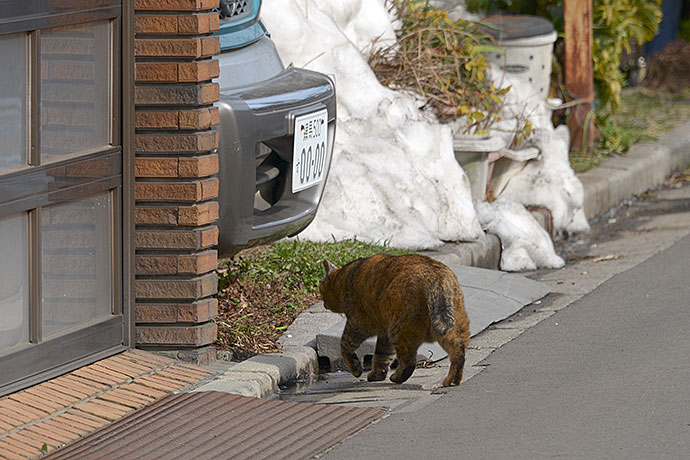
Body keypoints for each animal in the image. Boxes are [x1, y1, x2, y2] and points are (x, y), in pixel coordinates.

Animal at [318, 253, 468, 386]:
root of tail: (435, 277)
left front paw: (356, 370)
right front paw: (377, 375)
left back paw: (397, 377)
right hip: (449, 328)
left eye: (321, 287)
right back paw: (452, 380)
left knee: (409, 362)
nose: (322, 302)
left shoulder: (357, 324)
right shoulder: (384, 333)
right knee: (458, 352)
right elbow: (382, 355)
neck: (345, 277)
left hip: (400, 330)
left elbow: (345, 346)